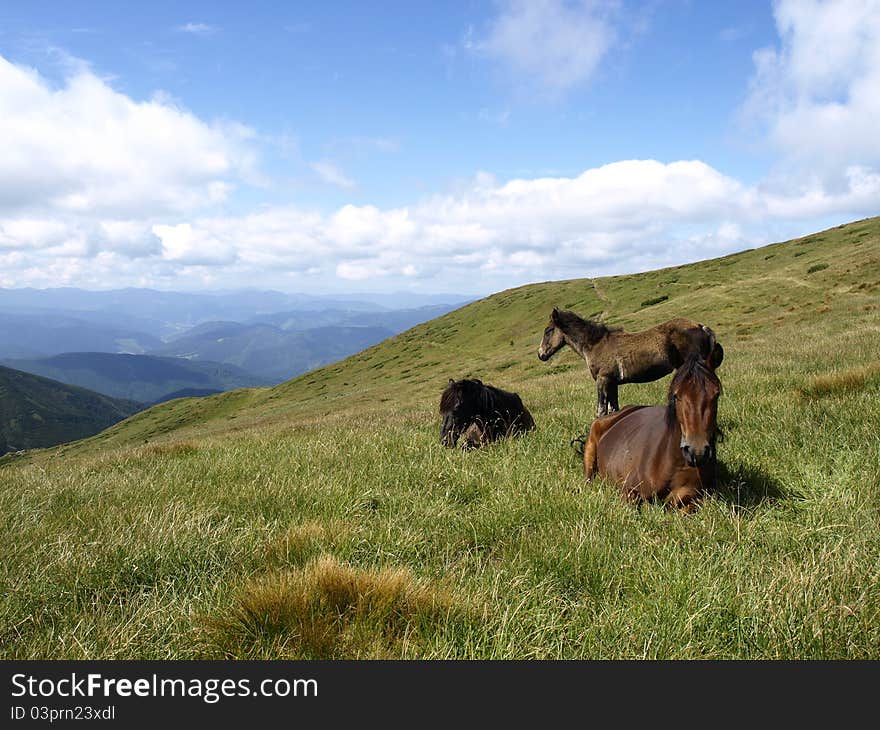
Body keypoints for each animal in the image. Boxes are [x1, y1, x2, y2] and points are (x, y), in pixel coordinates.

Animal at [540, 306, 724, 416]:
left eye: (548, 331)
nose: (541, 354)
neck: (596, 344)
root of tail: (700, 326)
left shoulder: (602, 380)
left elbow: (601, 410)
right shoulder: (612, 383)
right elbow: (614, 409)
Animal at [580, 348, 720, 510]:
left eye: (716, 395)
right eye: (676, 395)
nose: (697, 452)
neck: (673, 463)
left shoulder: (695, 500)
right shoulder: (628, 492)